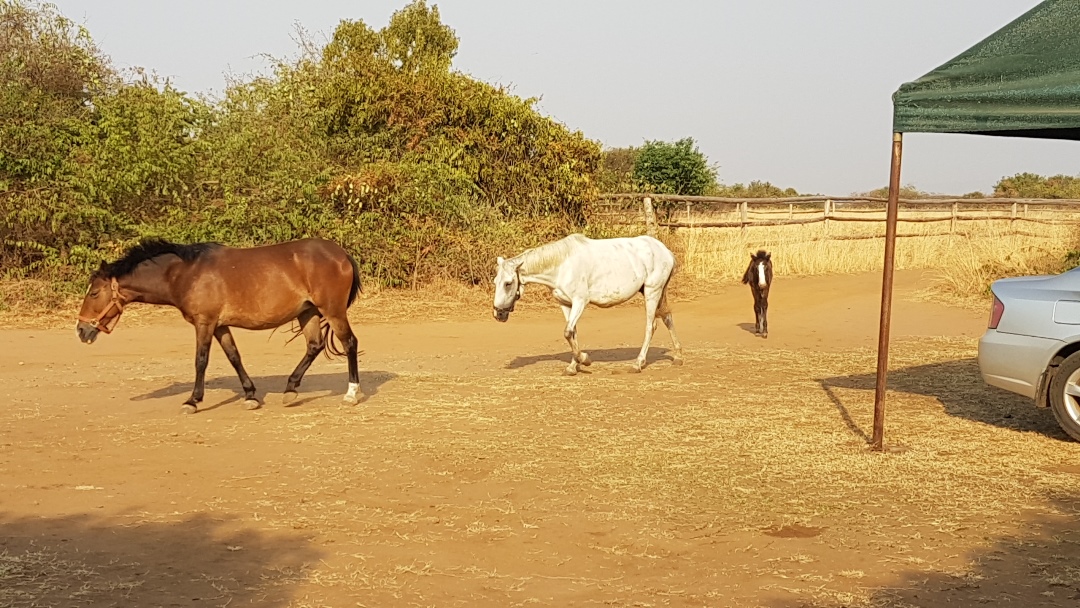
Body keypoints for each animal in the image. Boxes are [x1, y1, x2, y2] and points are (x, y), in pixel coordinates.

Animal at [77, 237, 362, 414]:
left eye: (94, 293)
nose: (81, 330)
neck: (185, 273)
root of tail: (341, 254)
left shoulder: (204, 322)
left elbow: (200, 360)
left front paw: (192, 401)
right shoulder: (219, 325)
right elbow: (234, 357)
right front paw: (250, 396)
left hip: (332, 310)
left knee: (349, 343)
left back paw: (352, 393)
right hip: (307, 312)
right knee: (314, 346)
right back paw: (290, 389)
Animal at [492, 234, 682, 373]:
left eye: (508, 283)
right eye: (495, 282)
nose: (498, 313)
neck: (562, 266)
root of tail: (665, 250)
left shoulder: (580, 302)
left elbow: (567, 332)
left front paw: (584, 360)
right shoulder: (565, 304)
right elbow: (572, 333)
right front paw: (573, 366)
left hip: (652, 292)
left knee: (651, 326)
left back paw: (637, 363)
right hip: (658, 292)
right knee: (667, 318)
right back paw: (678, 357)